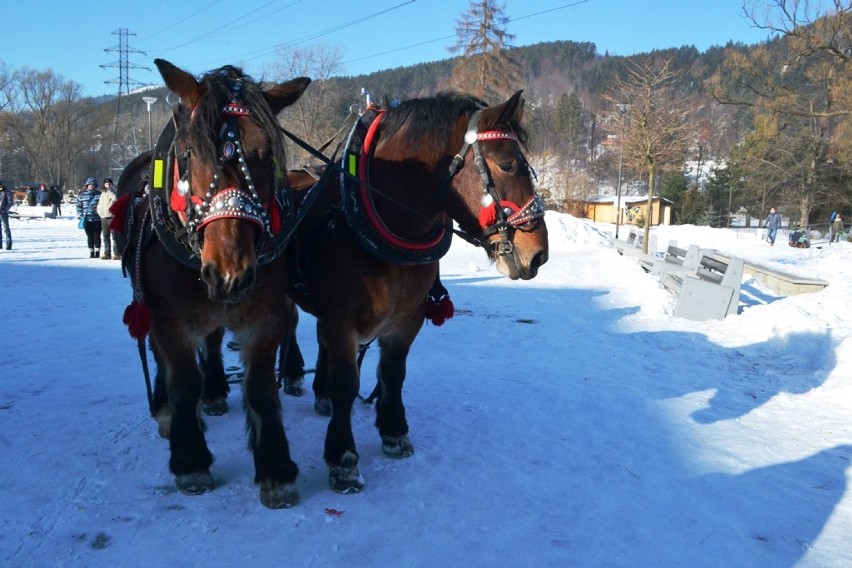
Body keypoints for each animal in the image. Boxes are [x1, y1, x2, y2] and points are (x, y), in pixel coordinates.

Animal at [115, 60, 310, 508]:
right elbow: (185, 380)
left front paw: (275, 468)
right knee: (163, 358)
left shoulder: (265, 315)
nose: (229, 273)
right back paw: (169, 408)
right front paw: (190, 460)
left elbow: (260, 388)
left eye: (267, 153)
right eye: (189, 153)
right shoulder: (169, 320)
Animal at [290, 89, 548, 492]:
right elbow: (346, 383)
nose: (539, 253)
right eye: (507, 165)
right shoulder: (340, 320)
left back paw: (320, 393)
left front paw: (394, 431)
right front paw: (343, 458)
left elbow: (393, 374)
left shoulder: (406, 317)